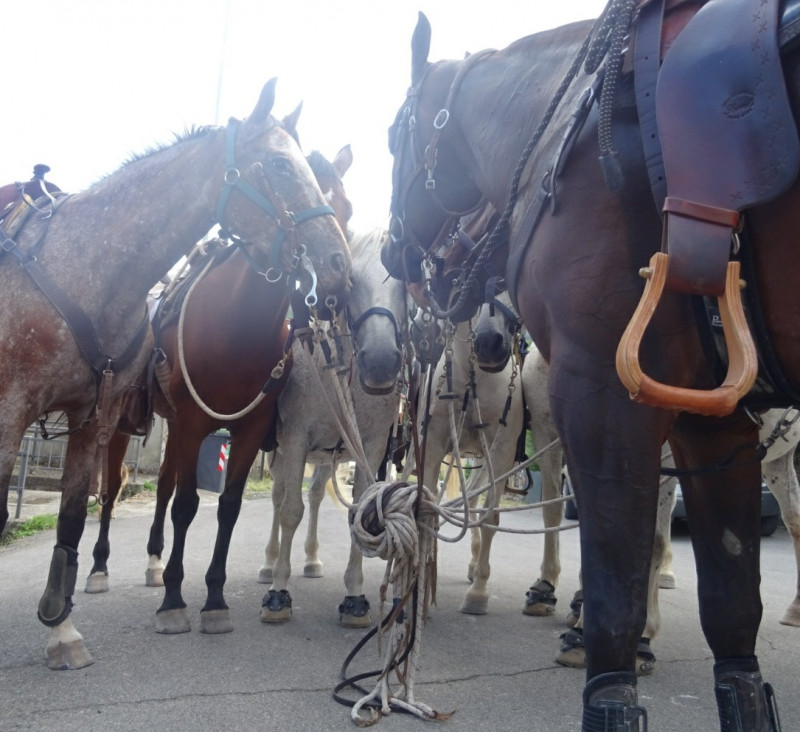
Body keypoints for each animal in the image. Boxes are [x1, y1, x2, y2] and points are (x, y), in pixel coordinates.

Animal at [0, 78, 350, 668]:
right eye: (282, 167)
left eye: (346, 202)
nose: (340, 269)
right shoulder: (174, 422)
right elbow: (185, 505)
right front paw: (174, 604)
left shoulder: (246, 430)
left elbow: (223, 508)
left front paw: (211, 599)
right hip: (124, 428)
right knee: (117, 492)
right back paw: (103, 570)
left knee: (158, 487)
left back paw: (151, 565)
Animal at [384, 7, 796, 732]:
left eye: (389, 141)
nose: (389, 250)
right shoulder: (706, 426)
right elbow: (731, 612)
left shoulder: (609, 405)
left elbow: (618, 592)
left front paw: (606, 637)